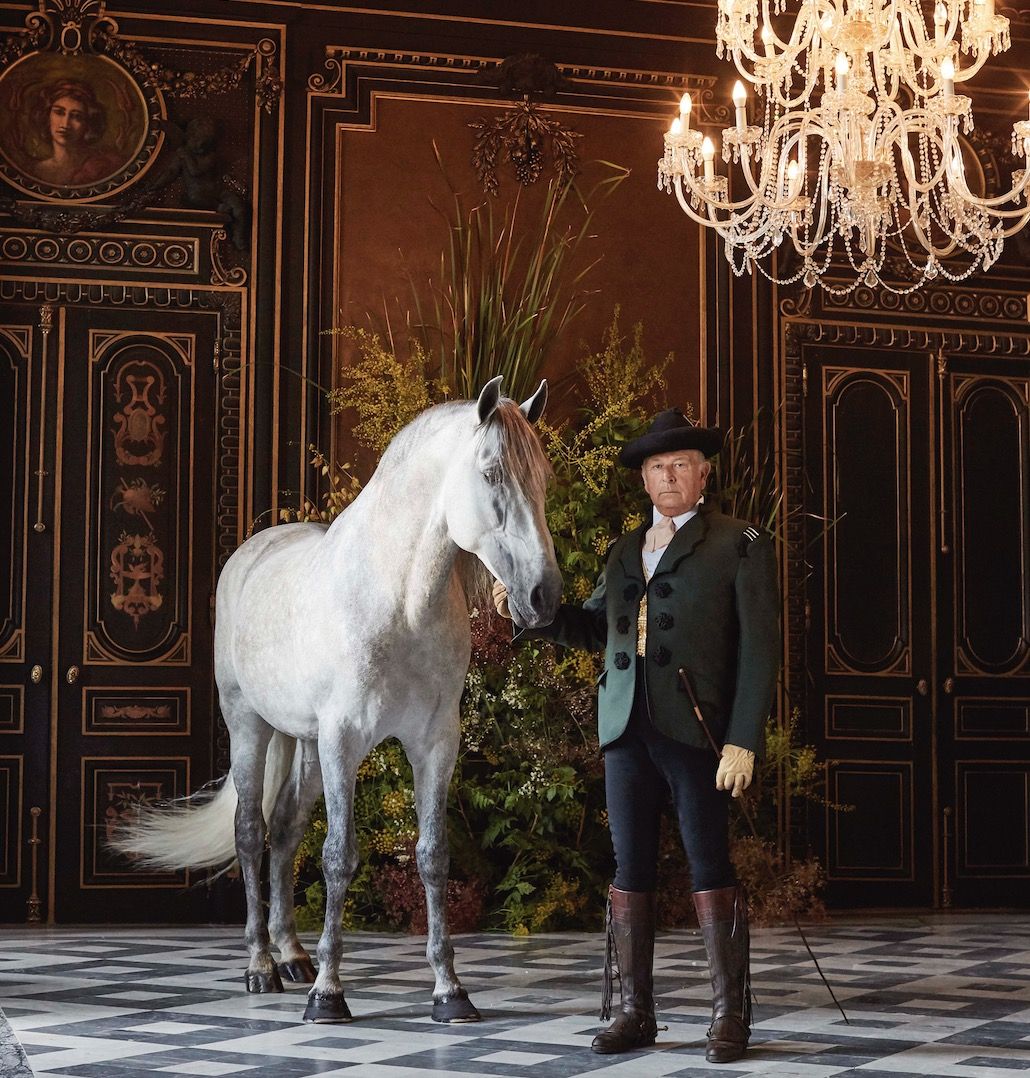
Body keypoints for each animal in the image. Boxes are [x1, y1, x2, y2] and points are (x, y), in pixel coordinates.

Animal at [111, 383, 560, 1021]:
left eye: (543, 477)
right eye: (491, 472)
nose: (544, 597)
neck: (399, 600)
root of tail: (253, 551)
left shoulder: (434, 745)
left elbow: (432, 856)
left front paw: (449, 991)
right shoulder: (343, 741)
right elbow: (339, 856)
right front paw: (328, 994)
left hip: (303, 743)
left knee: (285, 830)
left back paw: (293, 955)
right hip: (251, 727)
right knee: (251, 831)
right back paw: (261, 966)